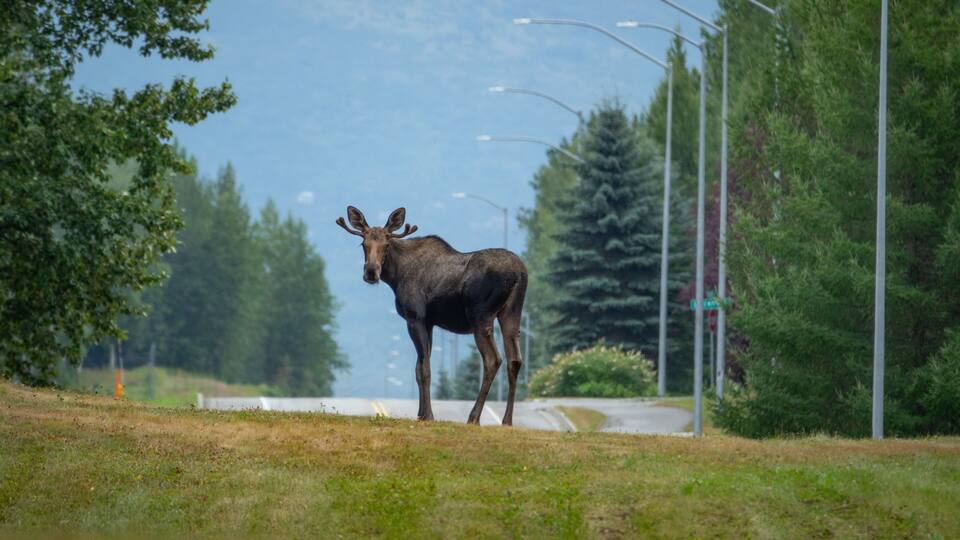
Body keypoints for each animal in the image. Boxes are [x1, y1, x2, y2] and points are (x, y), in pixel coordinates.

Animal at [336, 206, 527, 425]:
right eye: (363, 243)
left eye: (387, 244)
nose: (371, 272)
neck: (396, 276)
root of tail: (519, 274)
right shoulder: (429, 323)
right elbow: (418, 369)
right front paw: (420, 413)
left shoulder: (415, 318)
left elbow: (425, 370)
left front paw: (429, 415)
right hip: (511, 313)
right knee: (515, 360)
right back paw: (507, 421)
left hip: (481, 317)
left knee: (493, 359)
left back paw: (474, 417)